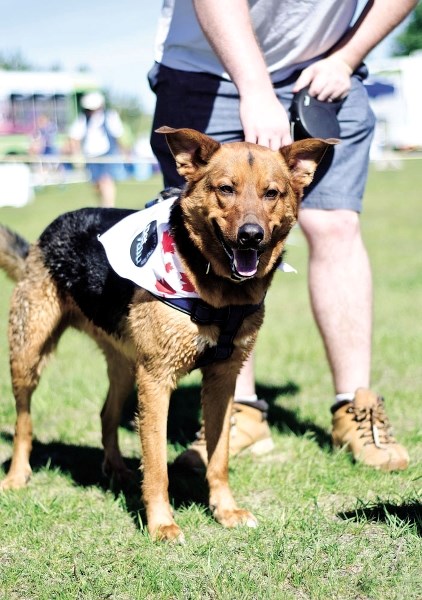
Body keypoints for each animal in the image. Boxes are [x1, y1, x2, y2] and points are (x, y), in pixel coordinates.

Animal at [0, 127, 336, 544]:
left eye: (271, 193)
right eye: (226, 189)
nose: (250, 237)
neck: (215, 289)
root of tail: (46, 235)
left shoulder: (223, 380)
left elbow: (219, 456)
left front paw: (224, 510)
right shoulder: (157, 381)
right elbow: (157, 465)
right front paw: (161, 524)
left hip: (124, 367)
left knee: (105, 414)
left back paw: (117, 470)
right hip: (28, 355)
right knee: (24, 421)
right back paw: (18, 475)